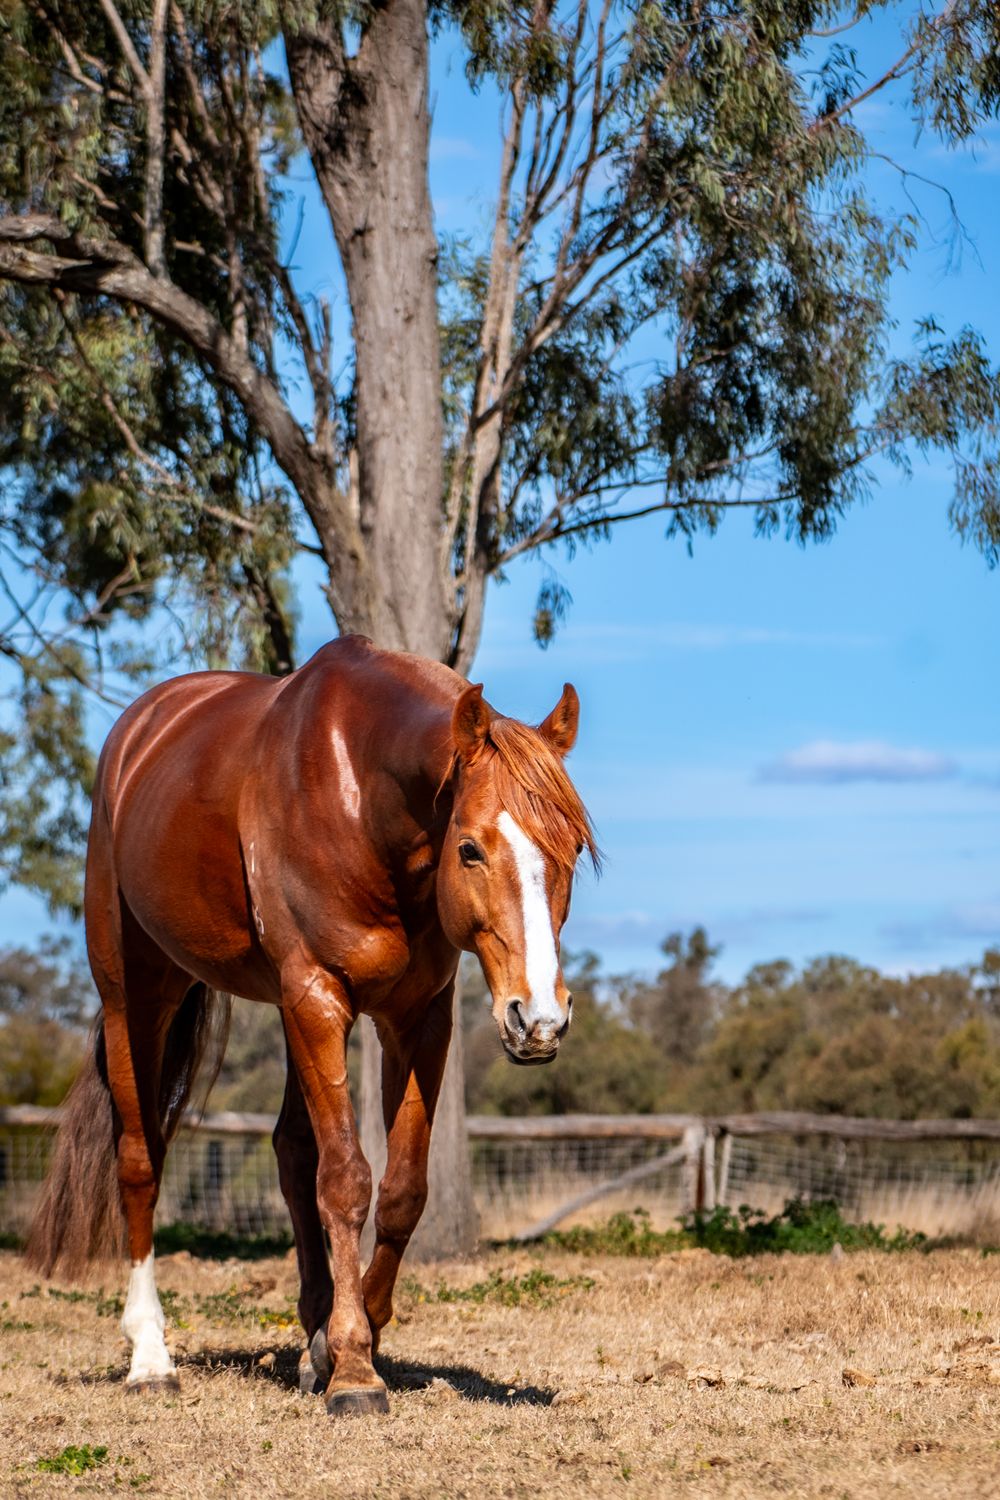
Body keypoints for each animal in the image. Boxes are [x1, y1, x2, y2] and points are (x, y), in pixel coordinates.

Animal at [26, 635, 597, 1416]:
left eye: (572, 848)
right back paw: (150, 1355)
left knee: (291, 1151)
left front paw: (338, 1341)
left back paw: (307, 1333)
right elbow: (347, 1180)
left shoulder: (415, 1017)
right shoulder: (318, 998)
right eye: (472, 849)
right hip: (136, 999)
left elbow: (401, 1191)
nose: (538, 1017)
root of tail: (139, 731)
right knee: (140, 1160)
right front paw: (353, 1369)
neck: (360, 798)